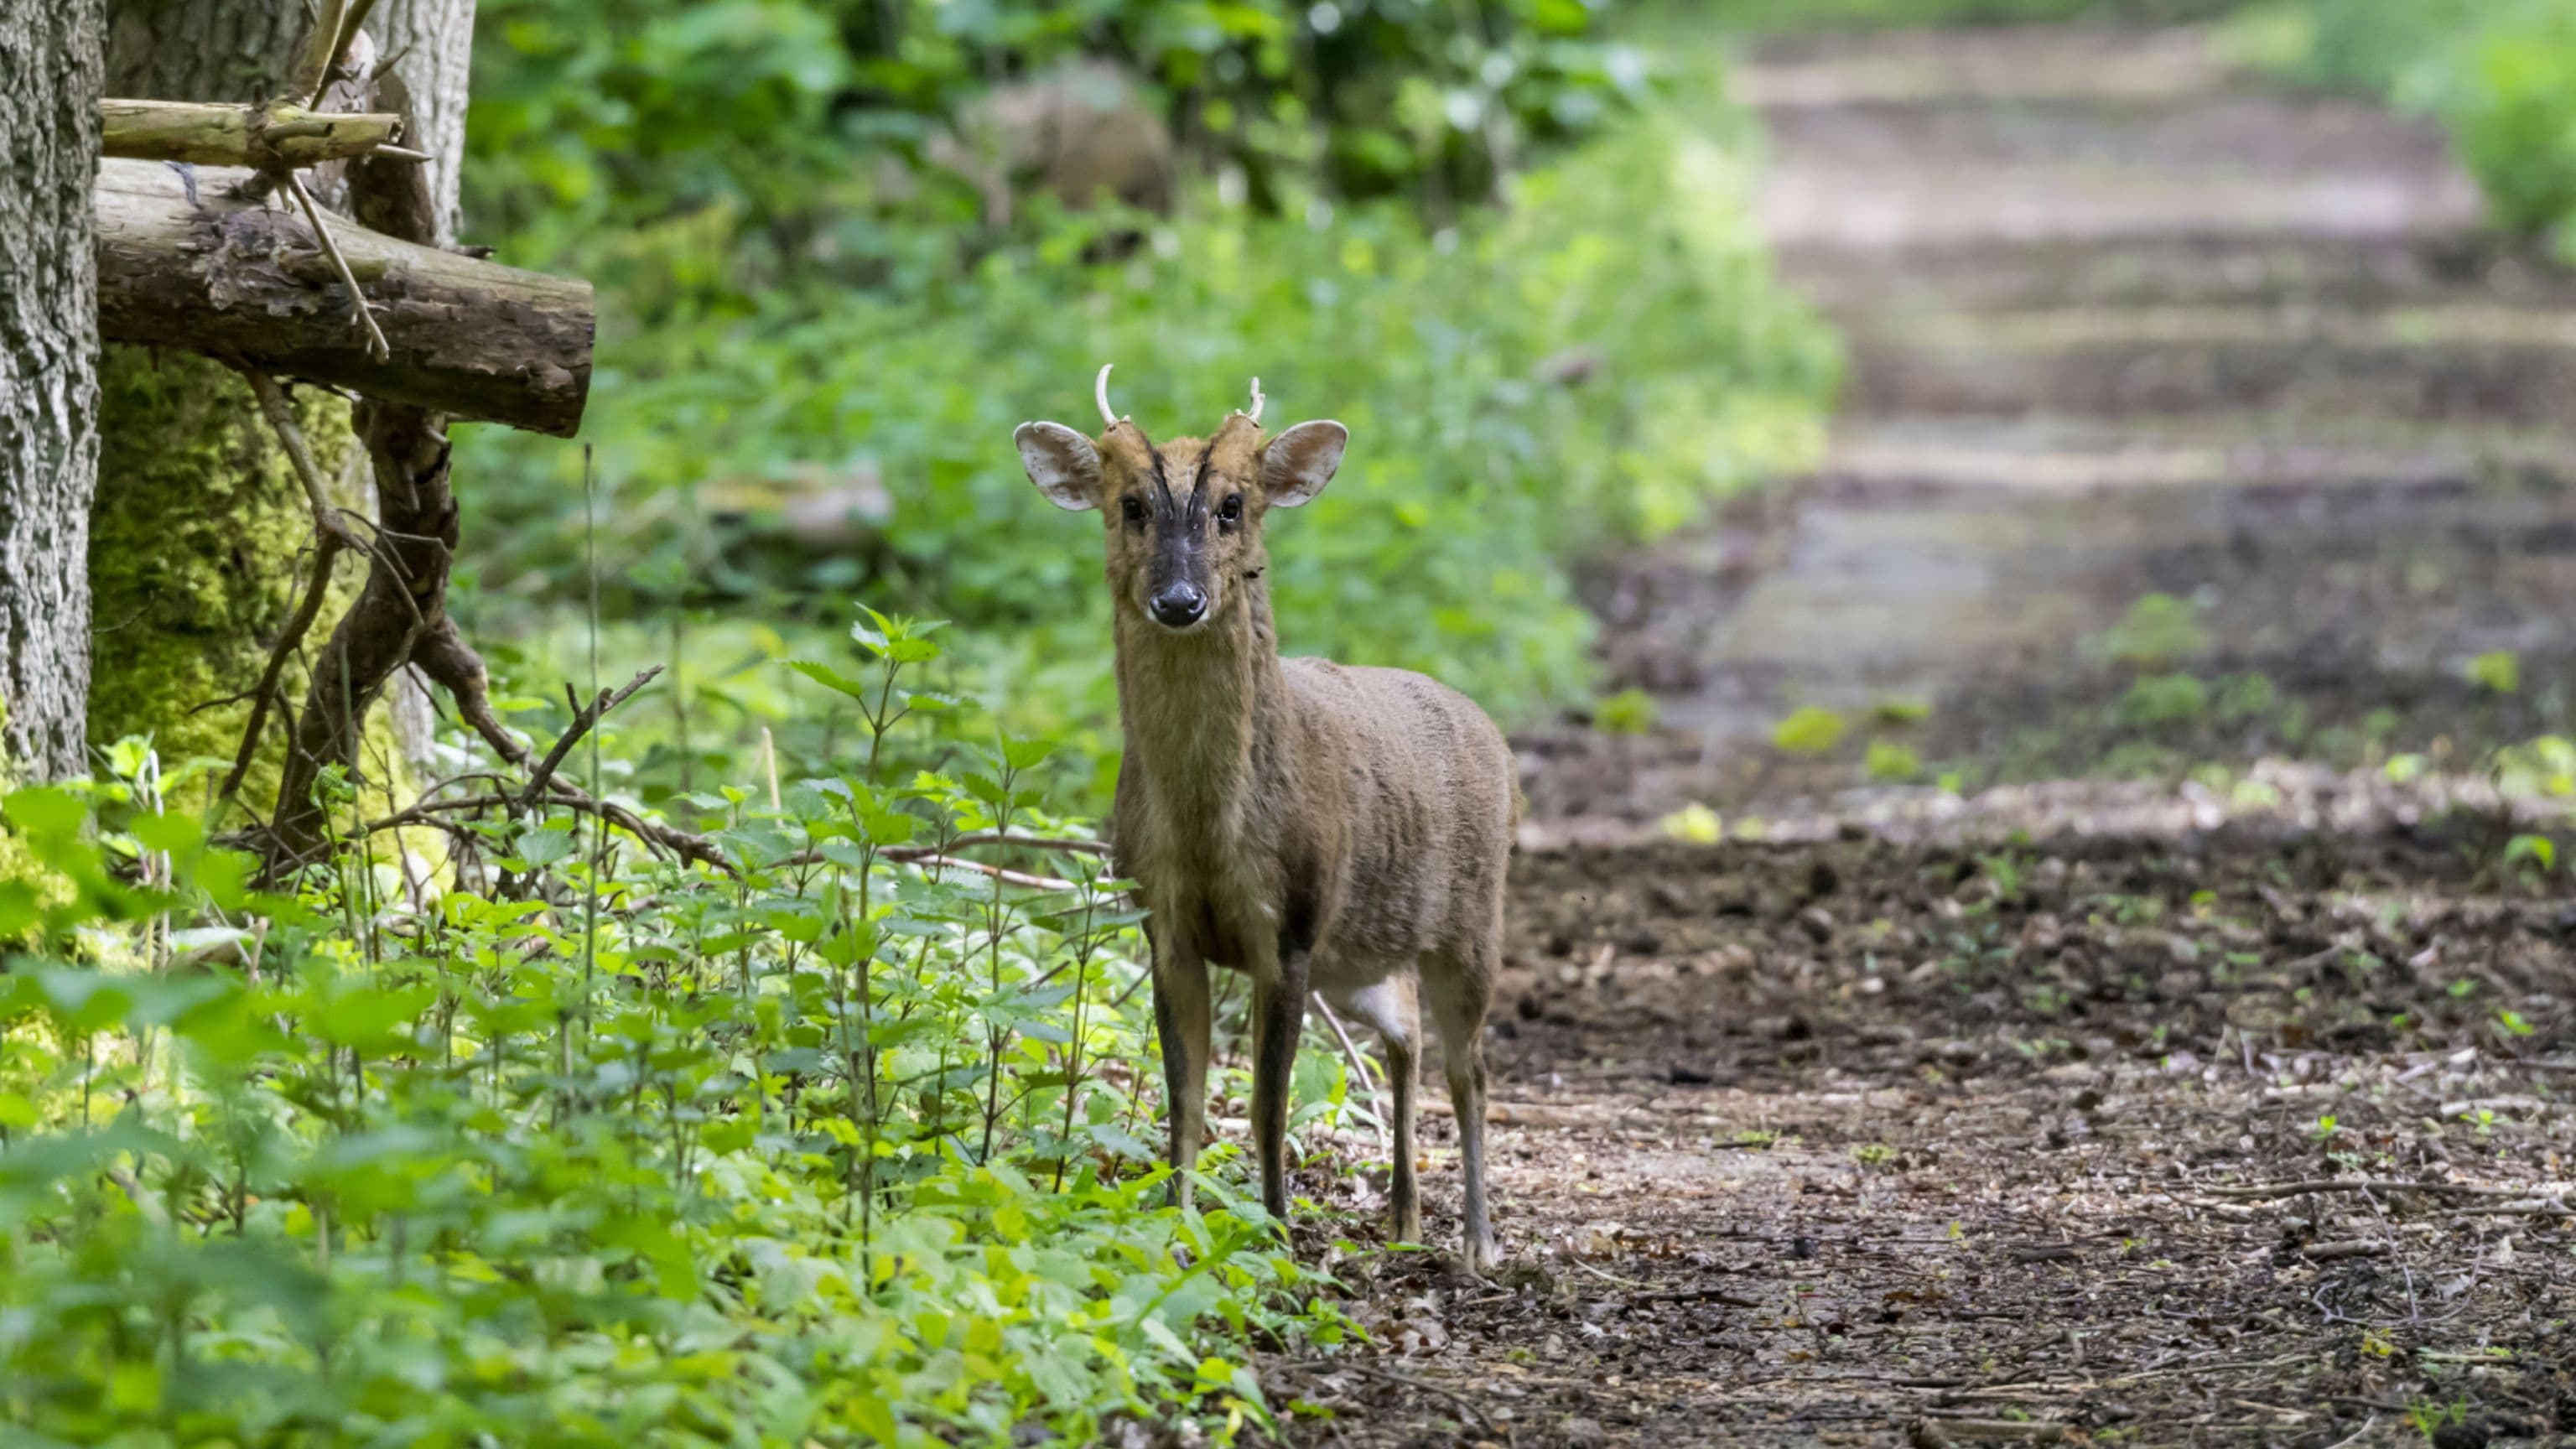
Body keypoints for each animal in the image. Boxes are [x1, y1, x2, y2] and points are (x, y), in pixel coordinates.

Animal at [1014, 366, 1516, 1271]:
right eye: (1131, 504)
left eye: (1233, 505)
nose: (1180, 599)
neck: (1209, 833)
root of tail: (1486, 725)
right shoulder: (1164, 921)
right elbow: (1184, 1101)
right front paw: (1175, 1233)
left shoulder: (1289, 926)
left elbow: (1266, 1104)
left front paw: (1277, 1240)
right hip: (1358, 959)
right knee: (1408, 1039)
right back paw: (1404, 1225)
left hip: (1471, 920)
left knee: (1471, 1071)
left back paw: (1476, 1243)